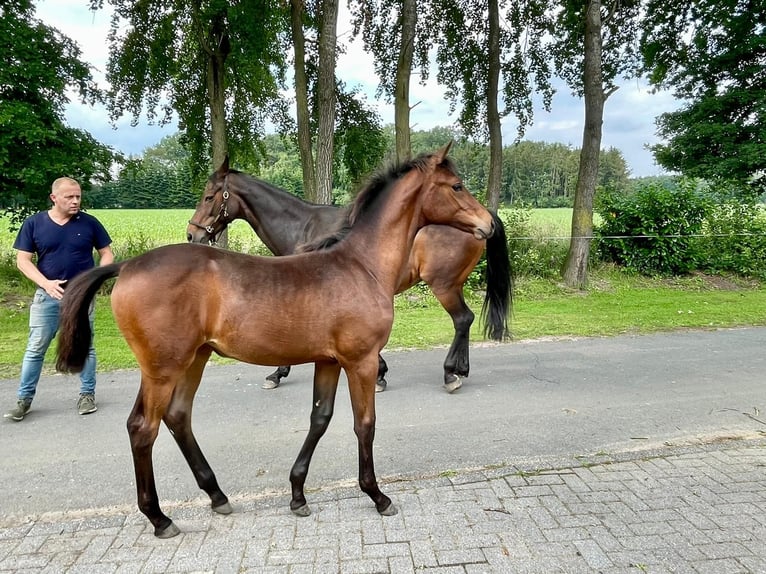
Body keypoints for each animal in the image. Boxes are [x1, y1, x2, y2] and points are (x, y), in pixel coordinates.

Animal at [187, 162, 512, 394]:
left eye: (208, 196)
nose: (192, 234)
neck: (301, 226)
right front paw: (379, 373)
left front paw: (277, 373)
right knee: (465, 320)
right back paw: (460, 370)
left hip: (443, 285)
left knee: (462, 319)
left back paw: (451, 373)